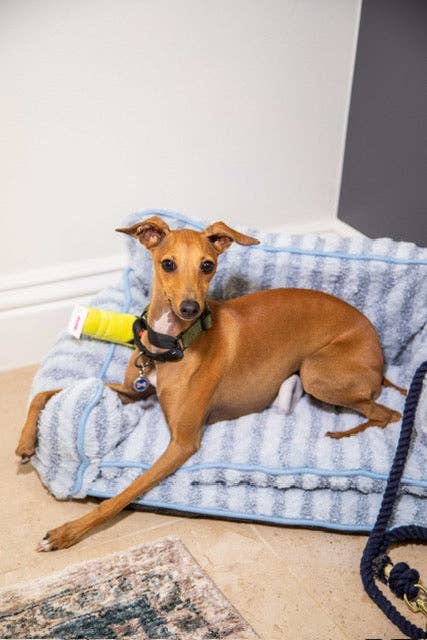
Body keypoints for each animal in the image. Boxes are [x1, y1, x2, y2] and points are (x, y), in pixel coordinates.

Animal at [15, 219, 406, 552]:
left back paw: (343, 433)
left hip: (316, 372)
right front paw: (25, 444)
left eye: (207, 265)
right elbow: (46, 392)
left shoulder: (183, 443)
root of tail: (378, 350)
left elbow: (122, 495)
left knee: (387, 413)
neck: (171, 345)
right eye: (168, 263)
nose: (190, 307)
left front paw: (65, 533)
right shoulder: (134, 391)